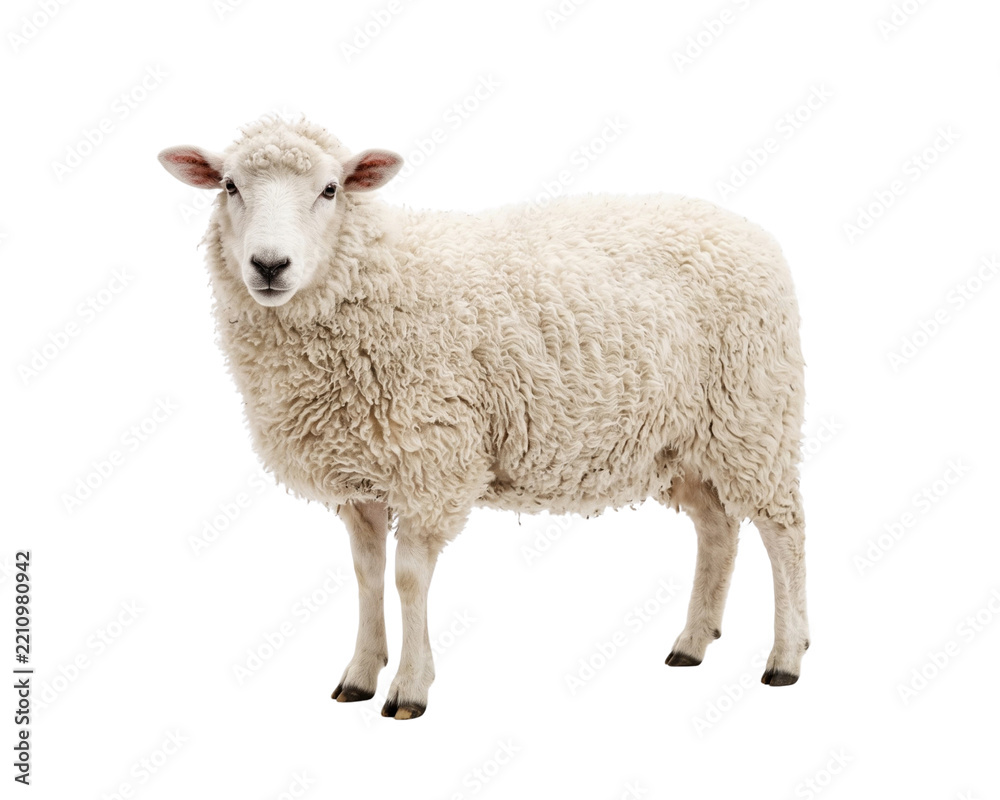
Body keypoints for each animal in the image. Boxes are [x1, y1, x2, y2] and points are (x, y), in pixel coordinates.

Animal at [158, 115, 809, 720]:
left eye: (330, 189)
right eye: (230, 185)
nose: (270, 265)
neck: (377, 278)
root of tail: (749, 231)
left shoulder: (430, 460)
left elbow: (407, 577)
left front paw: (409, 689)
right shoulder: (360, 473)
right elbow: (367, 574)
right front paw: (360, 675)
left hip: (754, 414)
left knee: (784, 529)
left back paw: (786, 657)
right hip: (686, 440)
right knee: (717, 528)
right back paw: (693, 642)